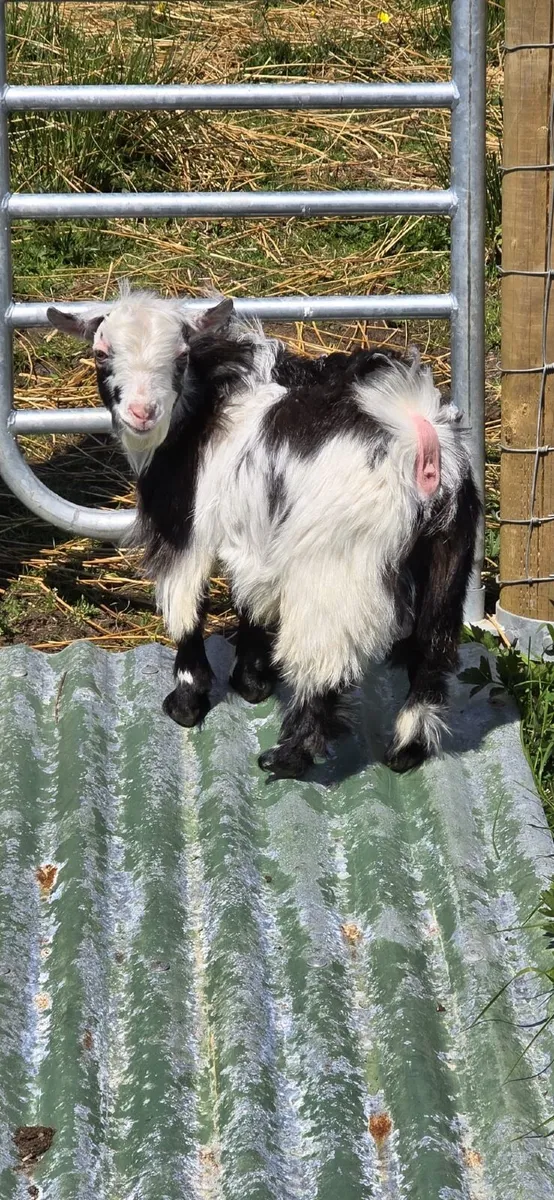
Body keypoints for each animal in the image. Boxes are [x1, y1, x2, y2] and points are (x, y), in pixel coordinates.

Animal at [47, 290, 480, 779]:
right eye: (102, 353)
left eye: (180, 356)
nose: (142, 412)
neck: (204, 407)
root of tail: (422, 443)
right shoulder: (255, 534)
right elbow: (250, 602)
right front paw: (252, 680)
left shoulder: (182, 530)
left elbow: (185, 607)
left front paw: (187, 701)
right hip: (448, 554)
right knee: (432, 648)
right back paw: (407, 749)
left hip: (335, 565)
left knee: (325, 660)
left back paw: (289, 755)